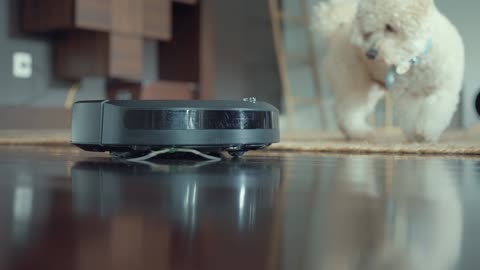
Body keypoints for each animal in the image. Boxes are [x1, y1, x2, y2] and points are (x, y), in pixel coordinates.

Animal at [316, 0, 464, 143]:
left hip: (370, 91)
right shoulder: (407, 95)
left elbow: (434, 112)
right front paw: (415, 136)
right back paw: (359, 133)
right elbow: (411, 116)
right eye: (369, 32)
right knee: (346, 111)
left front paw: (426, 132)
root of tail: (336, 30)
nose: (370, 54)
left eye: (389, 27)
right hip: (354, 84)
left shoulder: (442, 89)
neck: (416, 59)